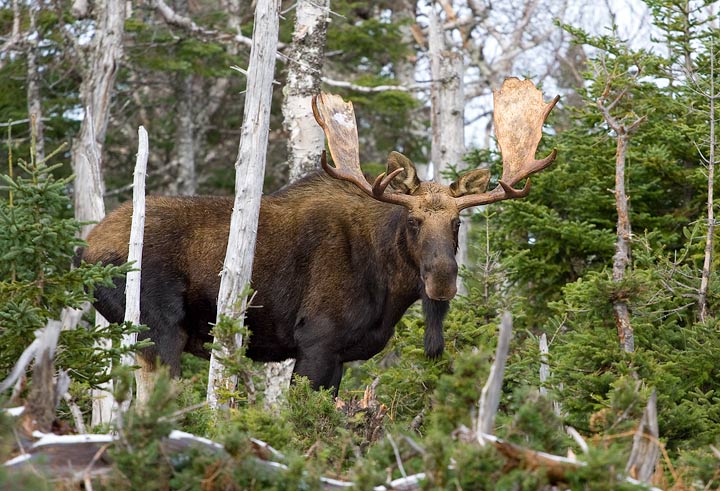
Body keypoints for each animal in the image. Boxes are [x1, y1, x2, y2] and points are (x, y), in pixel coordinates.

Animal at [80, 77, 559, 398]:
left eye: (458, 222)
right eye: (413, 220)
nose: (442, 278)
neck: (388, 289)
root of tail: (84, 252)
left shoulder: (341, 356)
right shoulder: (316, 342)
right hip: (157, 327)